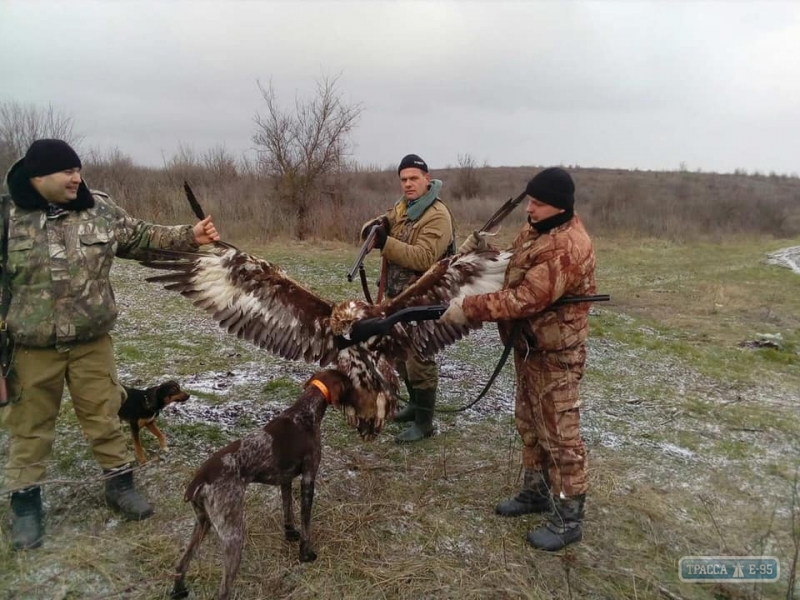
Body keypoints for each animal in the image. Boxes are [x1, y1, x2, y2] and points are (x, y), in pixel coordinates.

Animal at [172, 370, 350, 600]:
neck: (306, 412)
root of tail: (199, 479)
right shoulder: (308, 478)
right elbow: (306, 523)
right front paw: (305, 554)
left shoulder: (285, 479)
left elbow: (288, 509)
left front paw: (290, 534)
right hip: (233, 535)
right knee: (223, 591)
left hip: (203, 523)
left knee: (181, 563)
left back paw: (178, 590)